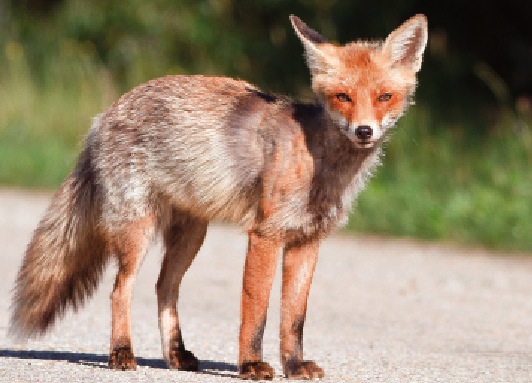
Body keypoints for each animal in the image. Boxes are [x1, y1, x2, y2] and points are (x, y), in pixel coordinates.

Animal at [9, 14, 428, 380]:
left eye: (384, 97)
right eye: (343, 96)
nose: (364, 131)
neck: (319, 164)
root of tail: (105, 114)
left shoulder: (307, 242)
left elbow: (294, 318)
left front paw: (294, 366)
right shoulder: (265, 236)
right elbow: (256, 312)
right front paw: (251, 366)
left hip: (192, 236)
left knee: (164, 288)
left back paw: (176, 355)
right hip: (137, 233)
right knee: (119, 291)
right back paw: (122, 353)